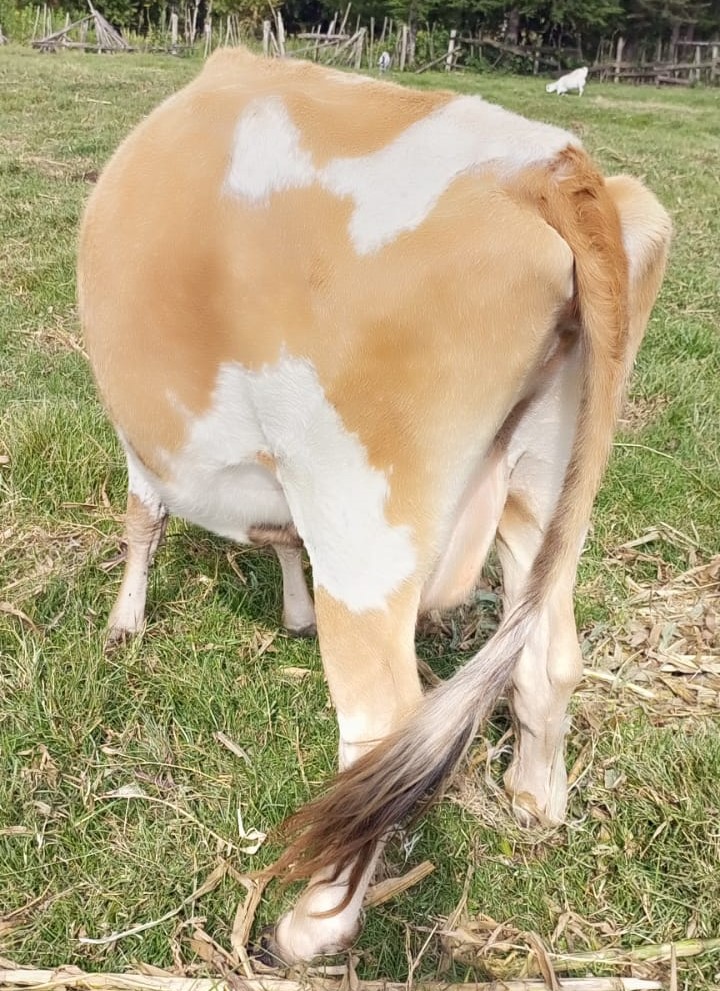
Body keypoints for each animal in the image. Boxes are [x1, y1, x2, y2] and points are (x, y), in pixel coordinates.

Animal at [78, 46, 671, 965]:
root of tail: (543, 163)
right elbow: (278, 534)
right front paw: (288, 607)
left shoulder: (142, 436)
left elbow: (144, 520)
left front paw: (124, 623)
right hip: (544, 483)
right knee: (549, 654)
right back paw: (534, 800)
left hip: (362, 509)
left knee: (381, 717)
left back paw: (311, 924)